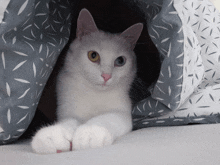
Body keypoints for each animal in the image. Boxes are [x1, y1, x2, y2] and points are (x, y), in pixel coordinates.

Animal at [31, 8, 144, 154]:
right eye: (93, 55)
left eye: (120, 61)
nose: (106, 76)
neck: (93, 92)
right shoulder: (68, 108)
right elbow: (69, 121)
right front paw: (52, 136)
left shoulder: (121, 112)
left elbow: (105, 118)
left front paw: (90, 133)